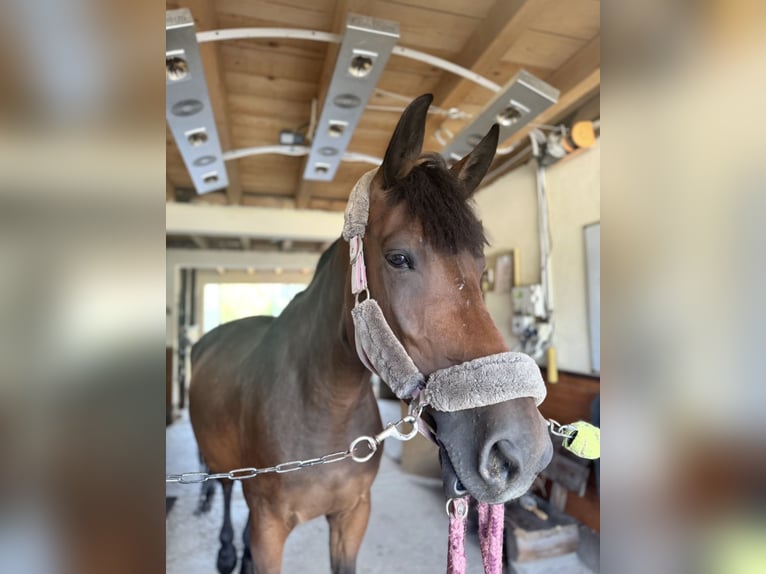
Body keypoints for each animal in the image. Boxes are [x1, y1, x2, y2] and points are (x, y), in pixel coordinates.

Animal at [189, 93, 553, 574]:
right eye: (398, 258)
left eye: (481, 269)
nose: (521, 451)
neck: (324, 404)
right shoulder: (270, 529)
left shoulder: (353, 515)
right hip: (222, 464)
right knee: (227, 490)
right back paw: (229, 550)